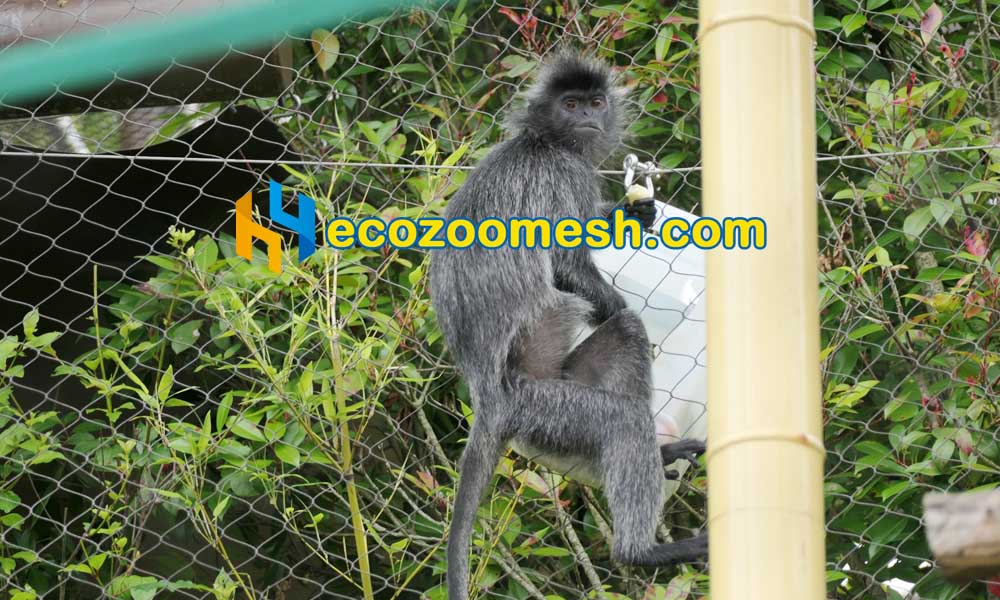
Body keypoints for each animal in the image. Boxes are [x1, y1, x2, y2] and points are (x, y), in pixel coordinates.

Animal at [428, 50, 707, 600]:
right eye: (570, 104)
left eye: (595, 103)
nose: (587, 117)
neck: (543, 140)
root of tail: (489, 398)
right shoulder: (562, 175)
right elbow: (565, 264)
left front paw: (633, 210)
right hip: (545, 406)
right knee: (622, 401)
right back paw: (641, 550)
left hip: (555, 407)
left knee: (626, 337)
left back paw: (661, 454)